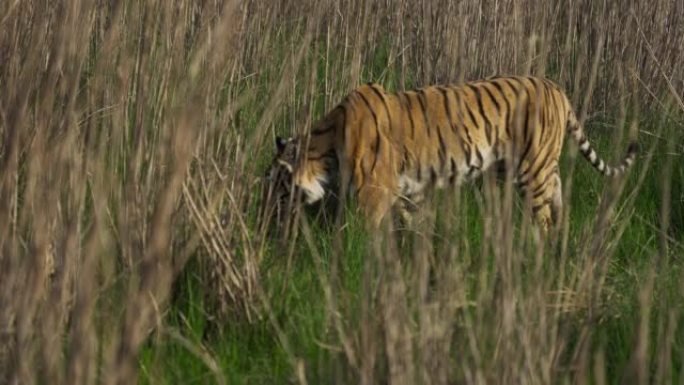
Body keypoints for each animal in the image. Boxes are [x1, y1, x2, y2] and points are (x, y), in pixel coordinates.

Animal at [260, 74, 636, 231]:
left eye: (277, 182)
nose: (265, 214)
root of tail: (557, 88)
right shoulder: (403, 190)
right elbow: (413, 219)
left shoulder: (374, 191)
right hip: (528, 168)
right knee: (558, 199)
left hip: (534, 170)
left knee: (541, 215)